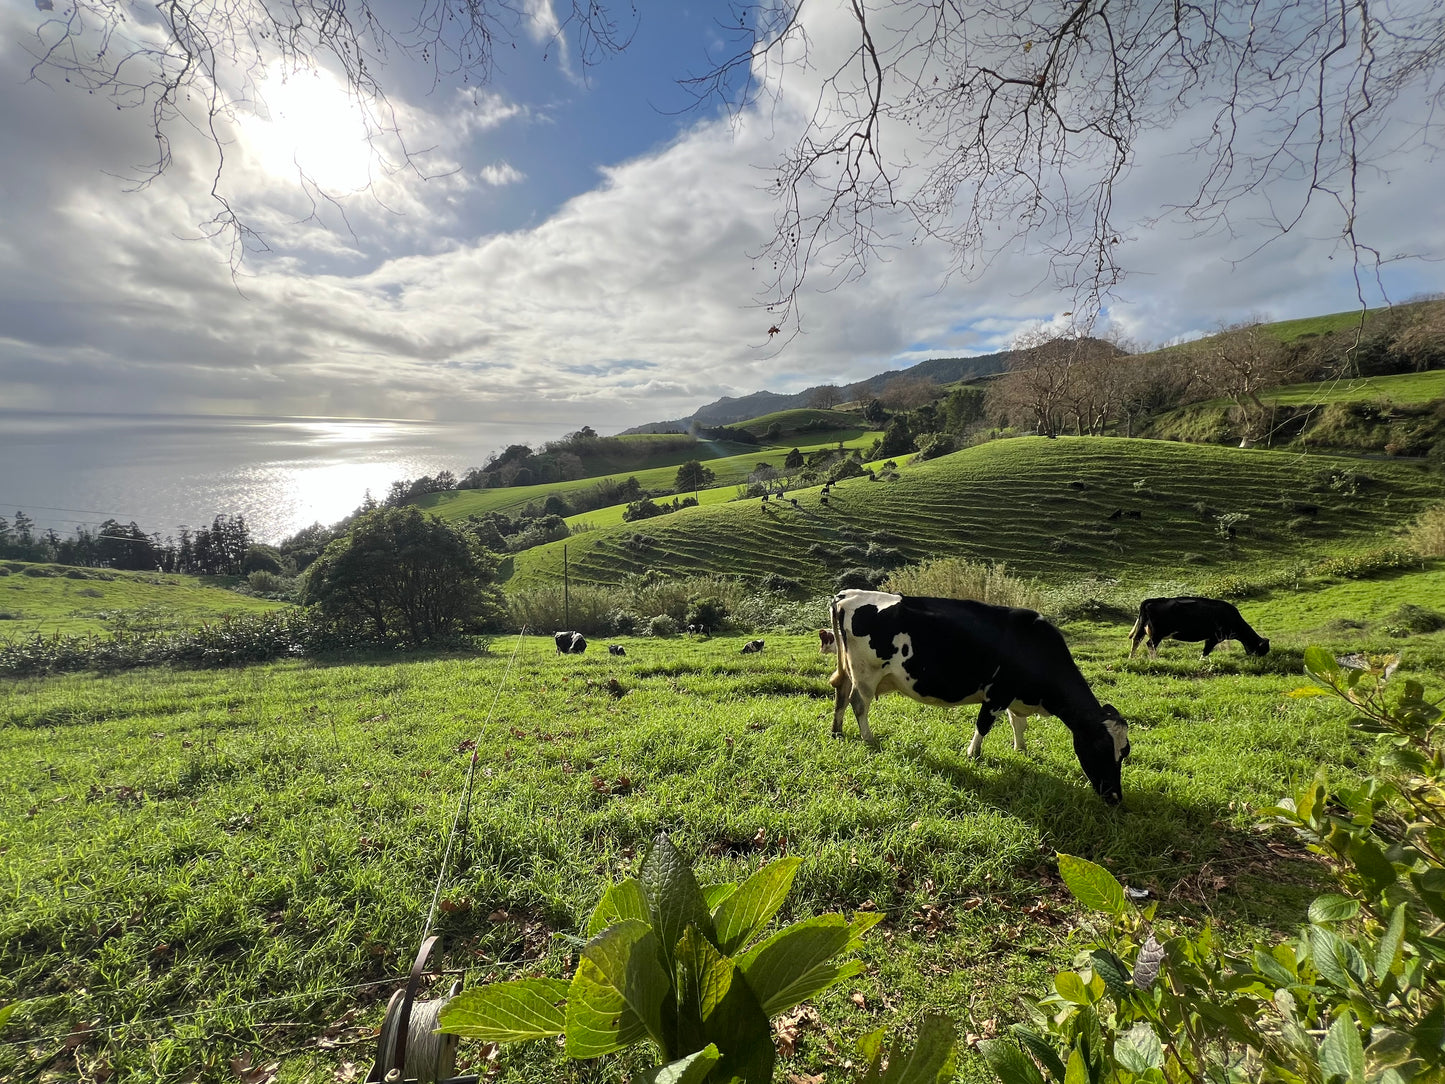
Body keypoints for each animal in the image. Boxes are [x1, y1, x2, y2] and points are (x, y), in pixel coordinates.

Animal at [826, 586, 1127, 809]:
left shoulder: (1013, 695)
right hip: (866, 673)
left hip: (849, 669)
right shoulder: (998, 693)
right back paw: (868, 739)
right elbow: (983, 725)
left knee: (840, 694)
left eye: (1125, 752)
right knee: (858, 703)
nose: (1115, 798)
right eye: (1100, 749)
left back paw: (837, 732)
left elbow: (1018, 724)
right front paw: (973, 753)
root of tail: (846, 594)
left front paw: (1021, 749)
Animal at [1121, 598, 1271, 659]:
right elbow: (1206, 651)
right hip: (1158, 633)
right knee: (1150, 644)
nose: (1261, 661)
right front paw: (1201, 661)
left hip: (1142, 629)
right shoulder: (1213, 637)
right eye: (1262, 650)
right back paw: (1154, 660)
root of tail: (1151, 600)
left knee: (1136, 641)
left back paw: (1131, 658)